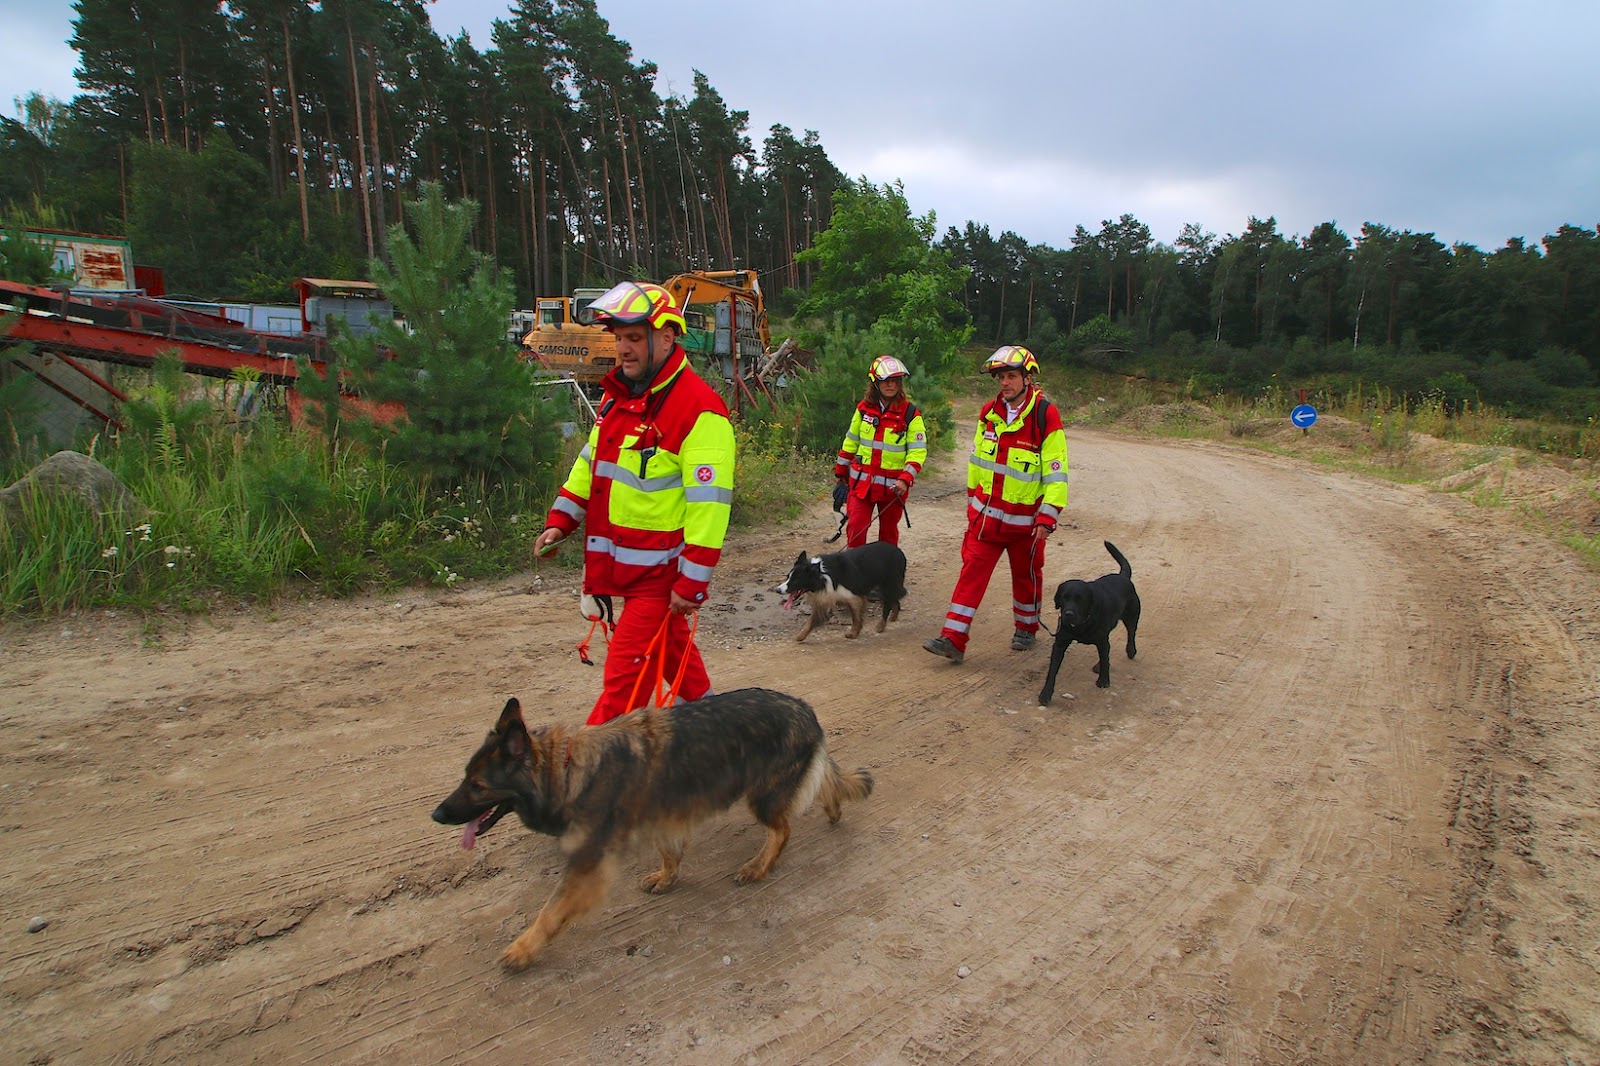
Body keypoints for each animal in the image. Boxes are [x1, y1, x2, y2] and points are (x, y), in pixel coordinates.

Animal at [432, 685, 870, 966]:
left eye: (478, 786)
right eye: (464, 778)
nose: (436, 814)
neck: (569, 769)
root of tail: (803, 707)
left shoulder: (588, 862)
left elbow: (551, 911)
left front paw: (524, 948)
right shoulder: (663, 815)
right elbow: (670, 852)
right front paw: (667, 877)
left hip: (760, 796)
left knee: (782, 830)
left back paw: (758, 867)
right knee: (823, 785)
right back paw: (833, 809)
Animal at [777, 541, 908, 640]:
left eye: (796, 580)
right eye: (787, 577)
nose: (777, 590)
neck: (821, 574)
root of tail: (899, 551)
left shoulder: (853, 596)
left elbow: (856, 617)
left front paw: (853, 633)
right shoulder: (824, 598)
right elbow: (811, 620)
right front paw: (801, 636)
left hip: (888, 583)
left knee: (888, 603)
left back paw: (881, 625)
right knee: (894, 599)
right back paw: (893, 617)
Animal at [1036, 534, 1139, 701]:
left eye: (1080, 599)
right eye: (1064, 598)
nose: (1068, 614)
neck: (1081, 624)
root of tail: (1123, 576)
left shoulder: (1102, 640)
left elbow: (1105, 658)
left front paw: (1104, 680)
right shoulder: (1060, 643)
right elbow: (1052, 671)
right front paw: (1046, 693)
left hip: (1131, 616)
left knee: (1131, 634)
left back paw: (1130, 650)